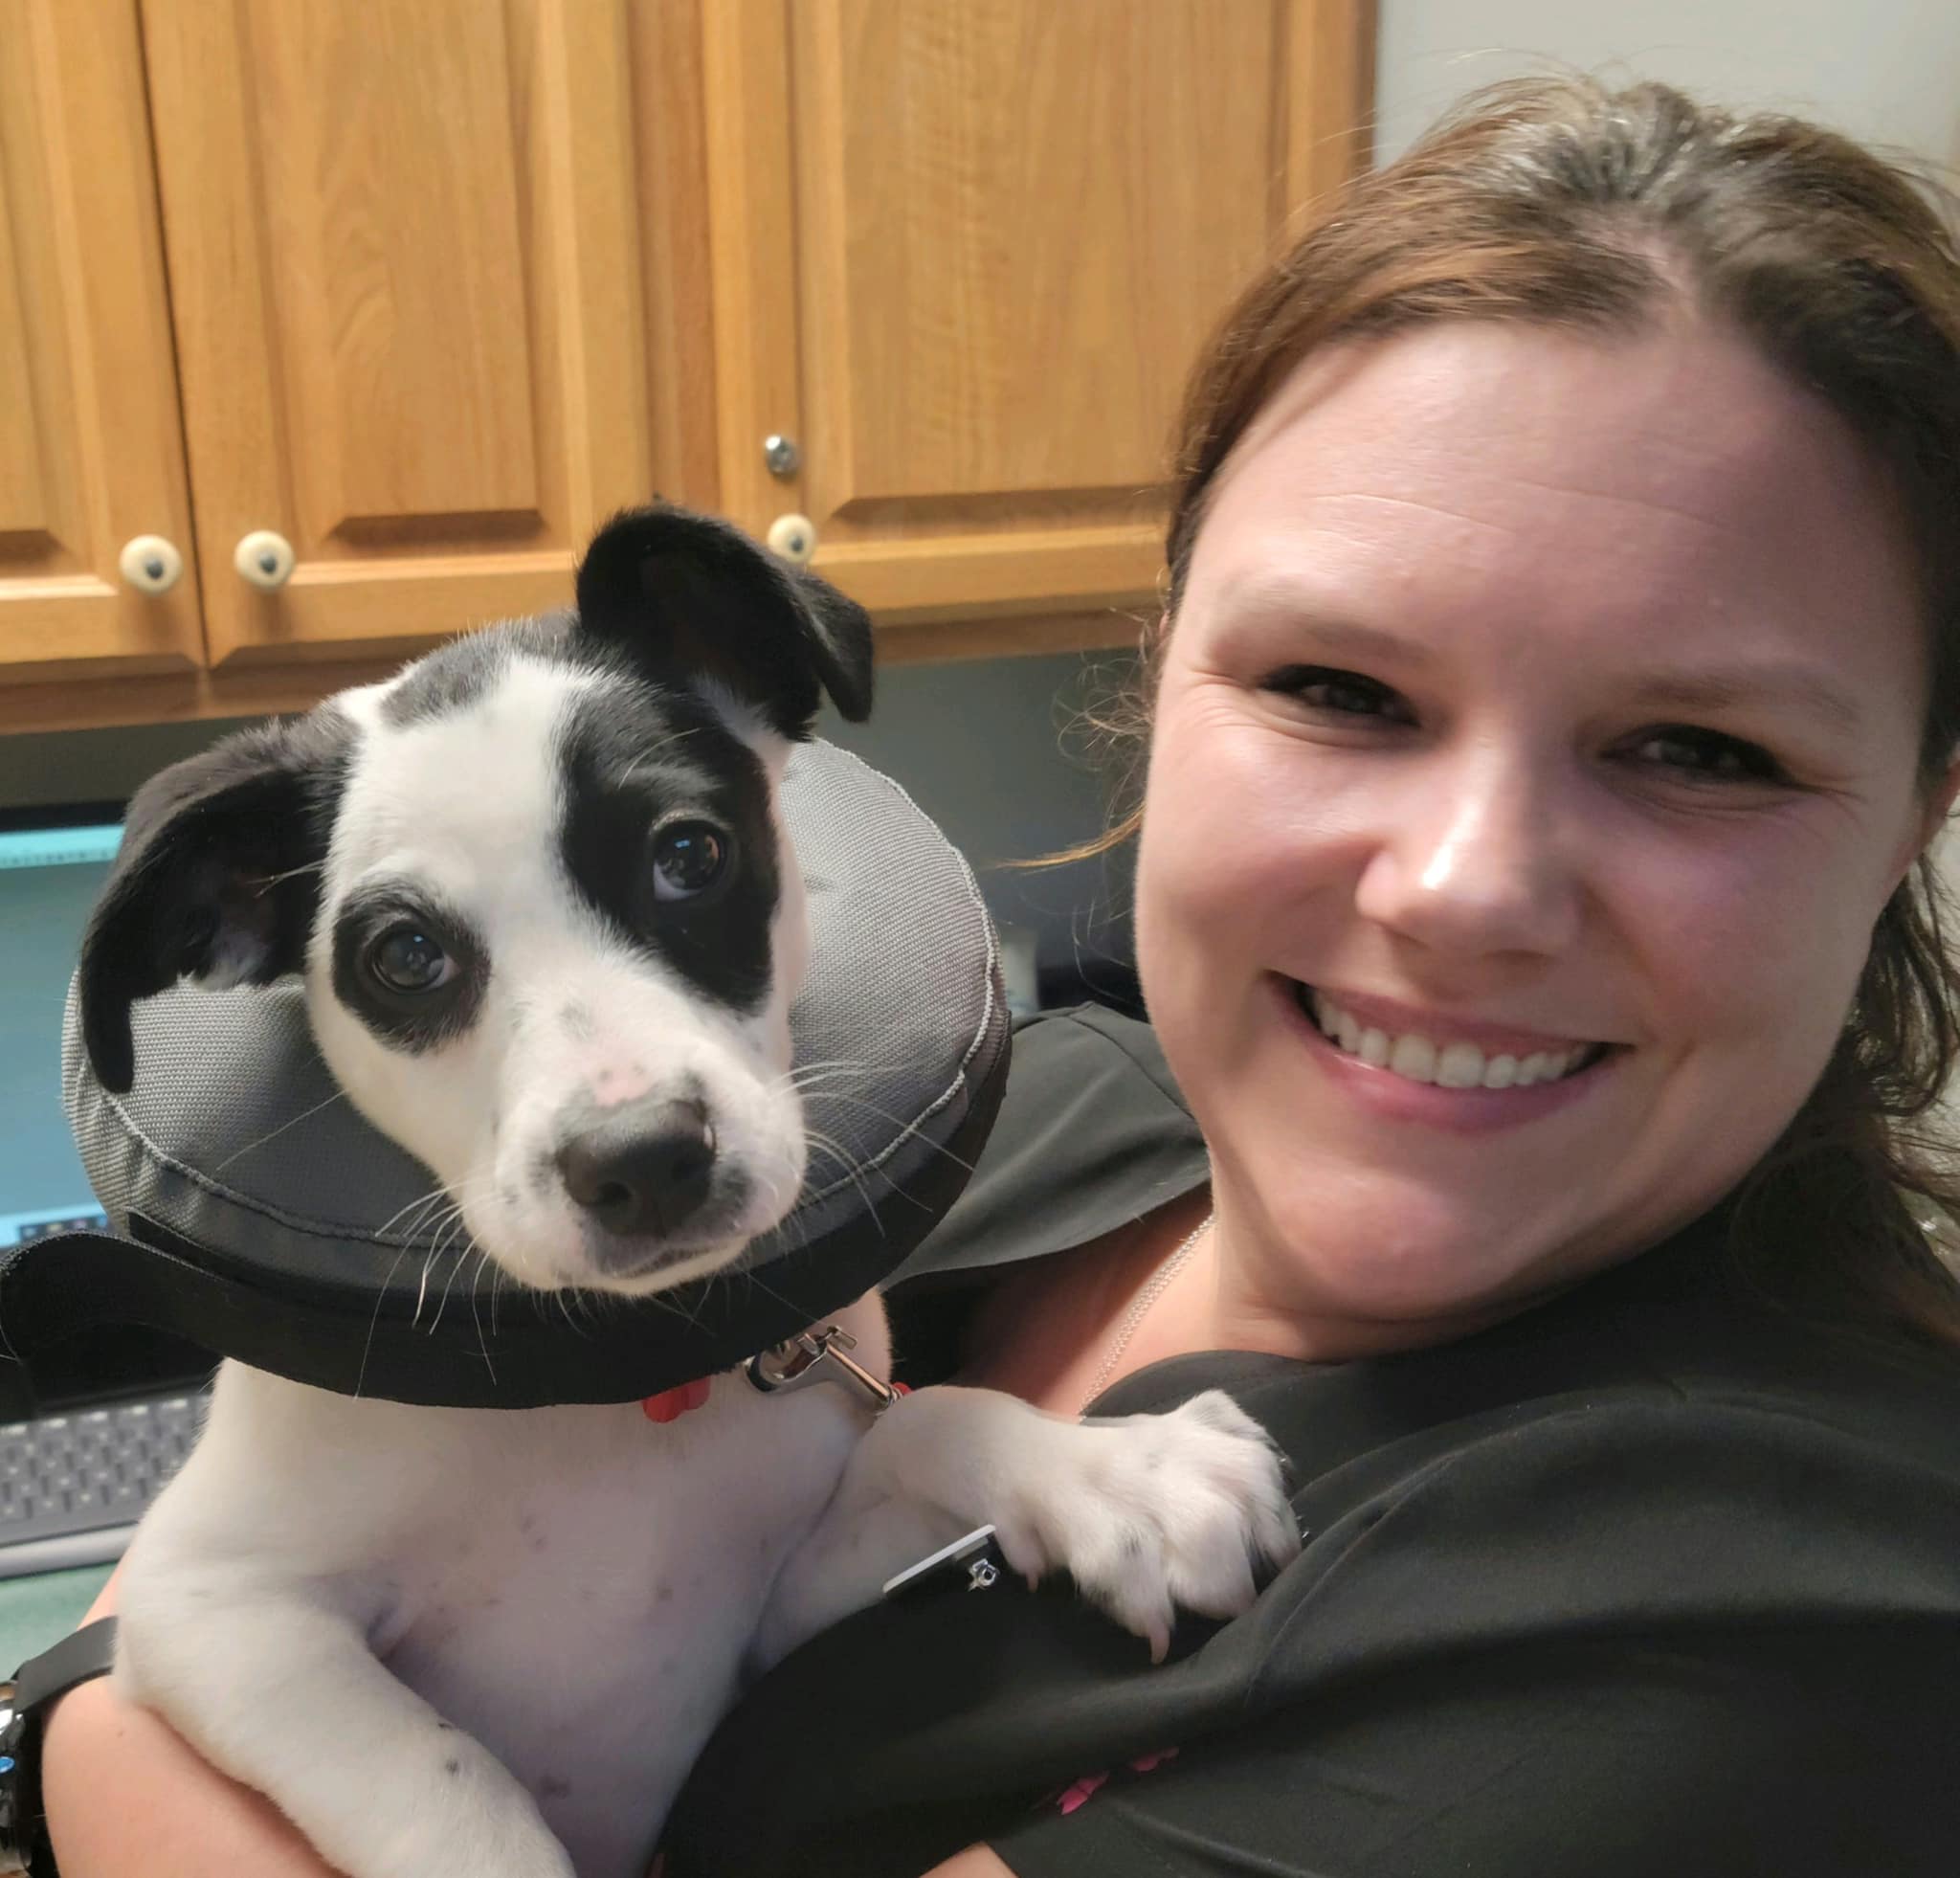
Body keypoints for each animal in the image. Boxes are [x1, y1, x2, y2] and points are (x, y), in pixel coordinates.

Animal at [76, 506, 1298, 1878]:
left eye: (688, 855)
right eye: (406, 957)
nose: (643, 1160)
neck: (606, 1407)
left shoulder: (767, 1624)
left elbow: (930, 1419)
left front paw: (1114, 1474)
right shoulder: (213, 1611)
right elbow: (447, 1787)